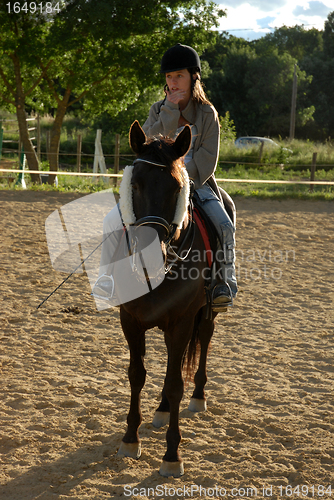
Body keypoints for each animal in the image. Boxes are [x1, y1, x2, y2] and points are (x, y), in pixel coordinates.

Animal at [117, 120, 235, 476]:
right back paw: (162, 409)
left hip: (205, 313)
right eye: (135, 183)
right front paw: (131, 439)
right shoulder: (130, 320)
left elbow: (175, 383)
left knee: (202, 343)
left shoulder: (182, 322)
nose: (148, 250)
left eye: (176, 187)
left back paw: (197, 396)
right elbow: (137, 374)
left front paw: (172, 455)